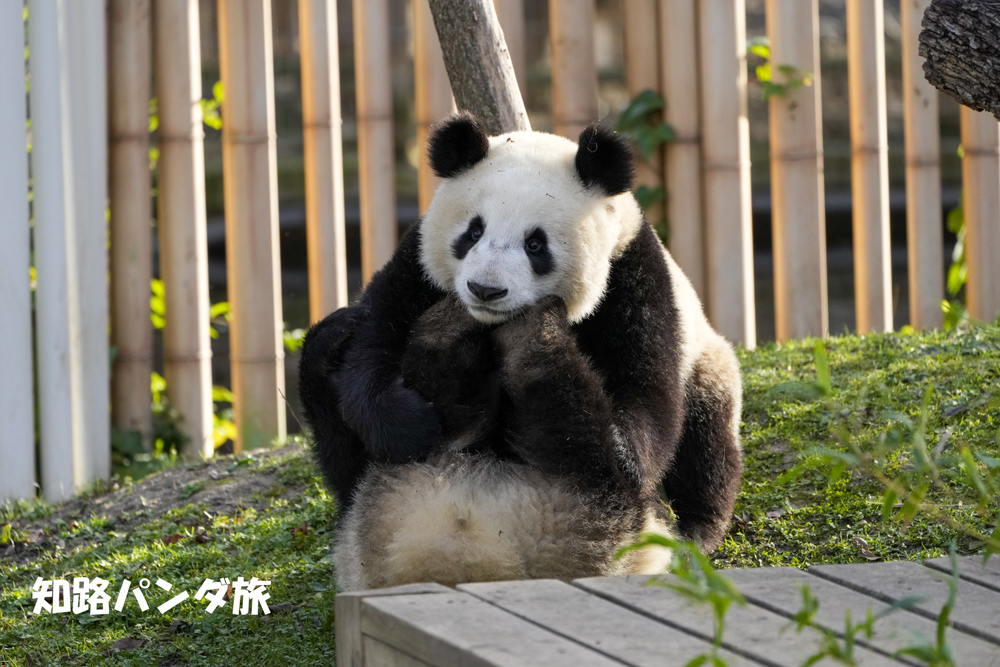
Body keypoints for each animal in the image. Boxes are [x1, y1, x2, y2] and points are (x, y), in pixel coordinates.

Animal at [298, 112, 743, 592]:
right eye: (473, 231)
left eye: (536, 244)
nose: (485, 290)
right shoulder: (415, 269)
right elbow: (368, 363)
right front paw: (412, 423)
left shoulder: (634, 283)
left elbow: (641, 432)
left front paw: (537, 339)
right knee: (329, 379)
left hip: (706, 370)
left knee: (707, 444)